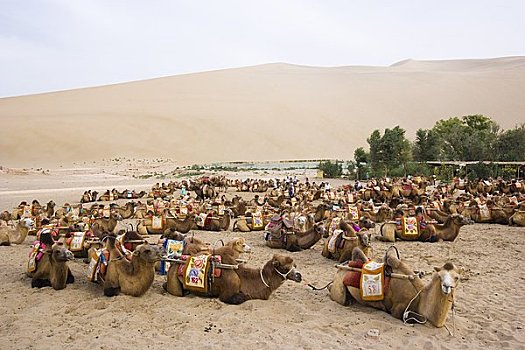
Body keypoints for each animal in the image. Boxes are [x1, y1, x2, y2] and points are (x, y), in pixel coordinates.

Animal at [166, 253, 300, 304]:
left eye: (295, 265)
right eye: (285, 267)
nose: (299, 276)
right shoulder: (227, 293)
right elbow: (241, 298)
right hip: (173, 282)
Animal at [330, 246, 460, 328]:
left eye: (457, 277)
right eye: (440, 276)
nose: (446, 286)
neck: (420, 298)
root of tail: (343, 266)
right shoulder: (398, 309)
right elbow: (421, 319)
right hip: (339, 290)